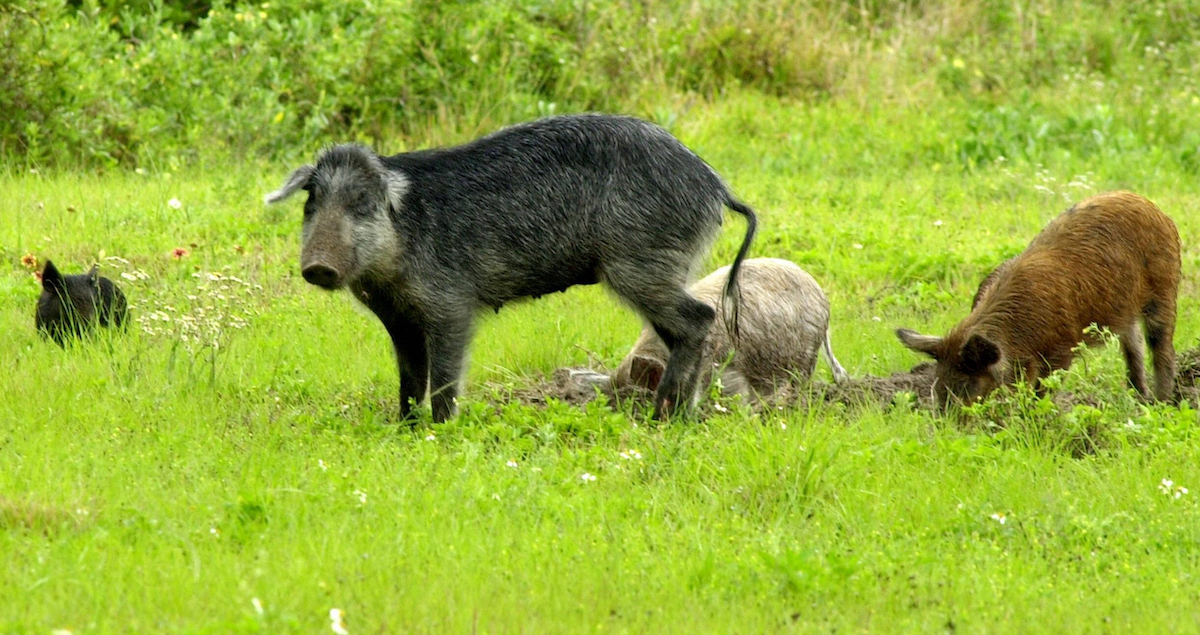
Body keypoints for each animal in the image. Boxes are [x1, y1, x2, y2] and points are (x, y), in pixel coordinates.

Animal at [902, 190, 1180, 405]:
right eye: (937, 383)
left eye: (967, 386)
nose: (947, 427)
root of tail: (1154, 208)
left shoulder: (1063, 349)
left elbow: (1043, 390)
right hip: (1125, 312)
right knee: (1134, 347)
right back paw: (1139, 398)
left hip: (1165, 290)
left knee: (1162, 348)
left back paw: (1162, 403)